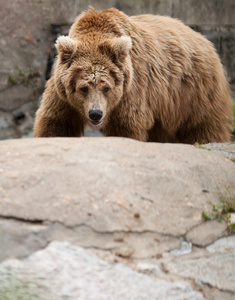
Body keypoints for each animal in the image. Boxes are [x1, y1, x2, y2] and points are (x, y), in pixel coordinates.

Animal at [33, 7, 233, 143]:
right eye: (83, 88)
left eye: (106, 87)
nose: (96, 114)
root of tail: (205, 40)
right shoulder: (62, 95)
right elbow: (56, 124)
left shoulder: (131, 89)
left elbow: (126, 126)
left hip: (194, 93)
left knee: (203, 126)